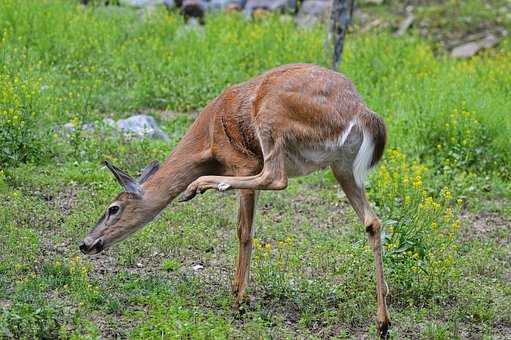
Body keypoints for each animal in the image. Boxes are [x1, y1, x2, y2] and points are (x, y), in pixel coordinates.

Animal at [80, 63, 390, 338]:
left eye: (113, 208)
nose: (85, 243)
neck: (207, 144)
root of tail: (361, 111)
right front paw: (237, 291)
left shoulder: (244, 163)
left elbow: (244, 231)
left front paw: (239, 298)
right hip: (342, 165)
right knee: (372, 221)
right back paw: (383, 321)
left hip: (272, 121)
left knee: (276, 177)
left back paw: (198, 186)